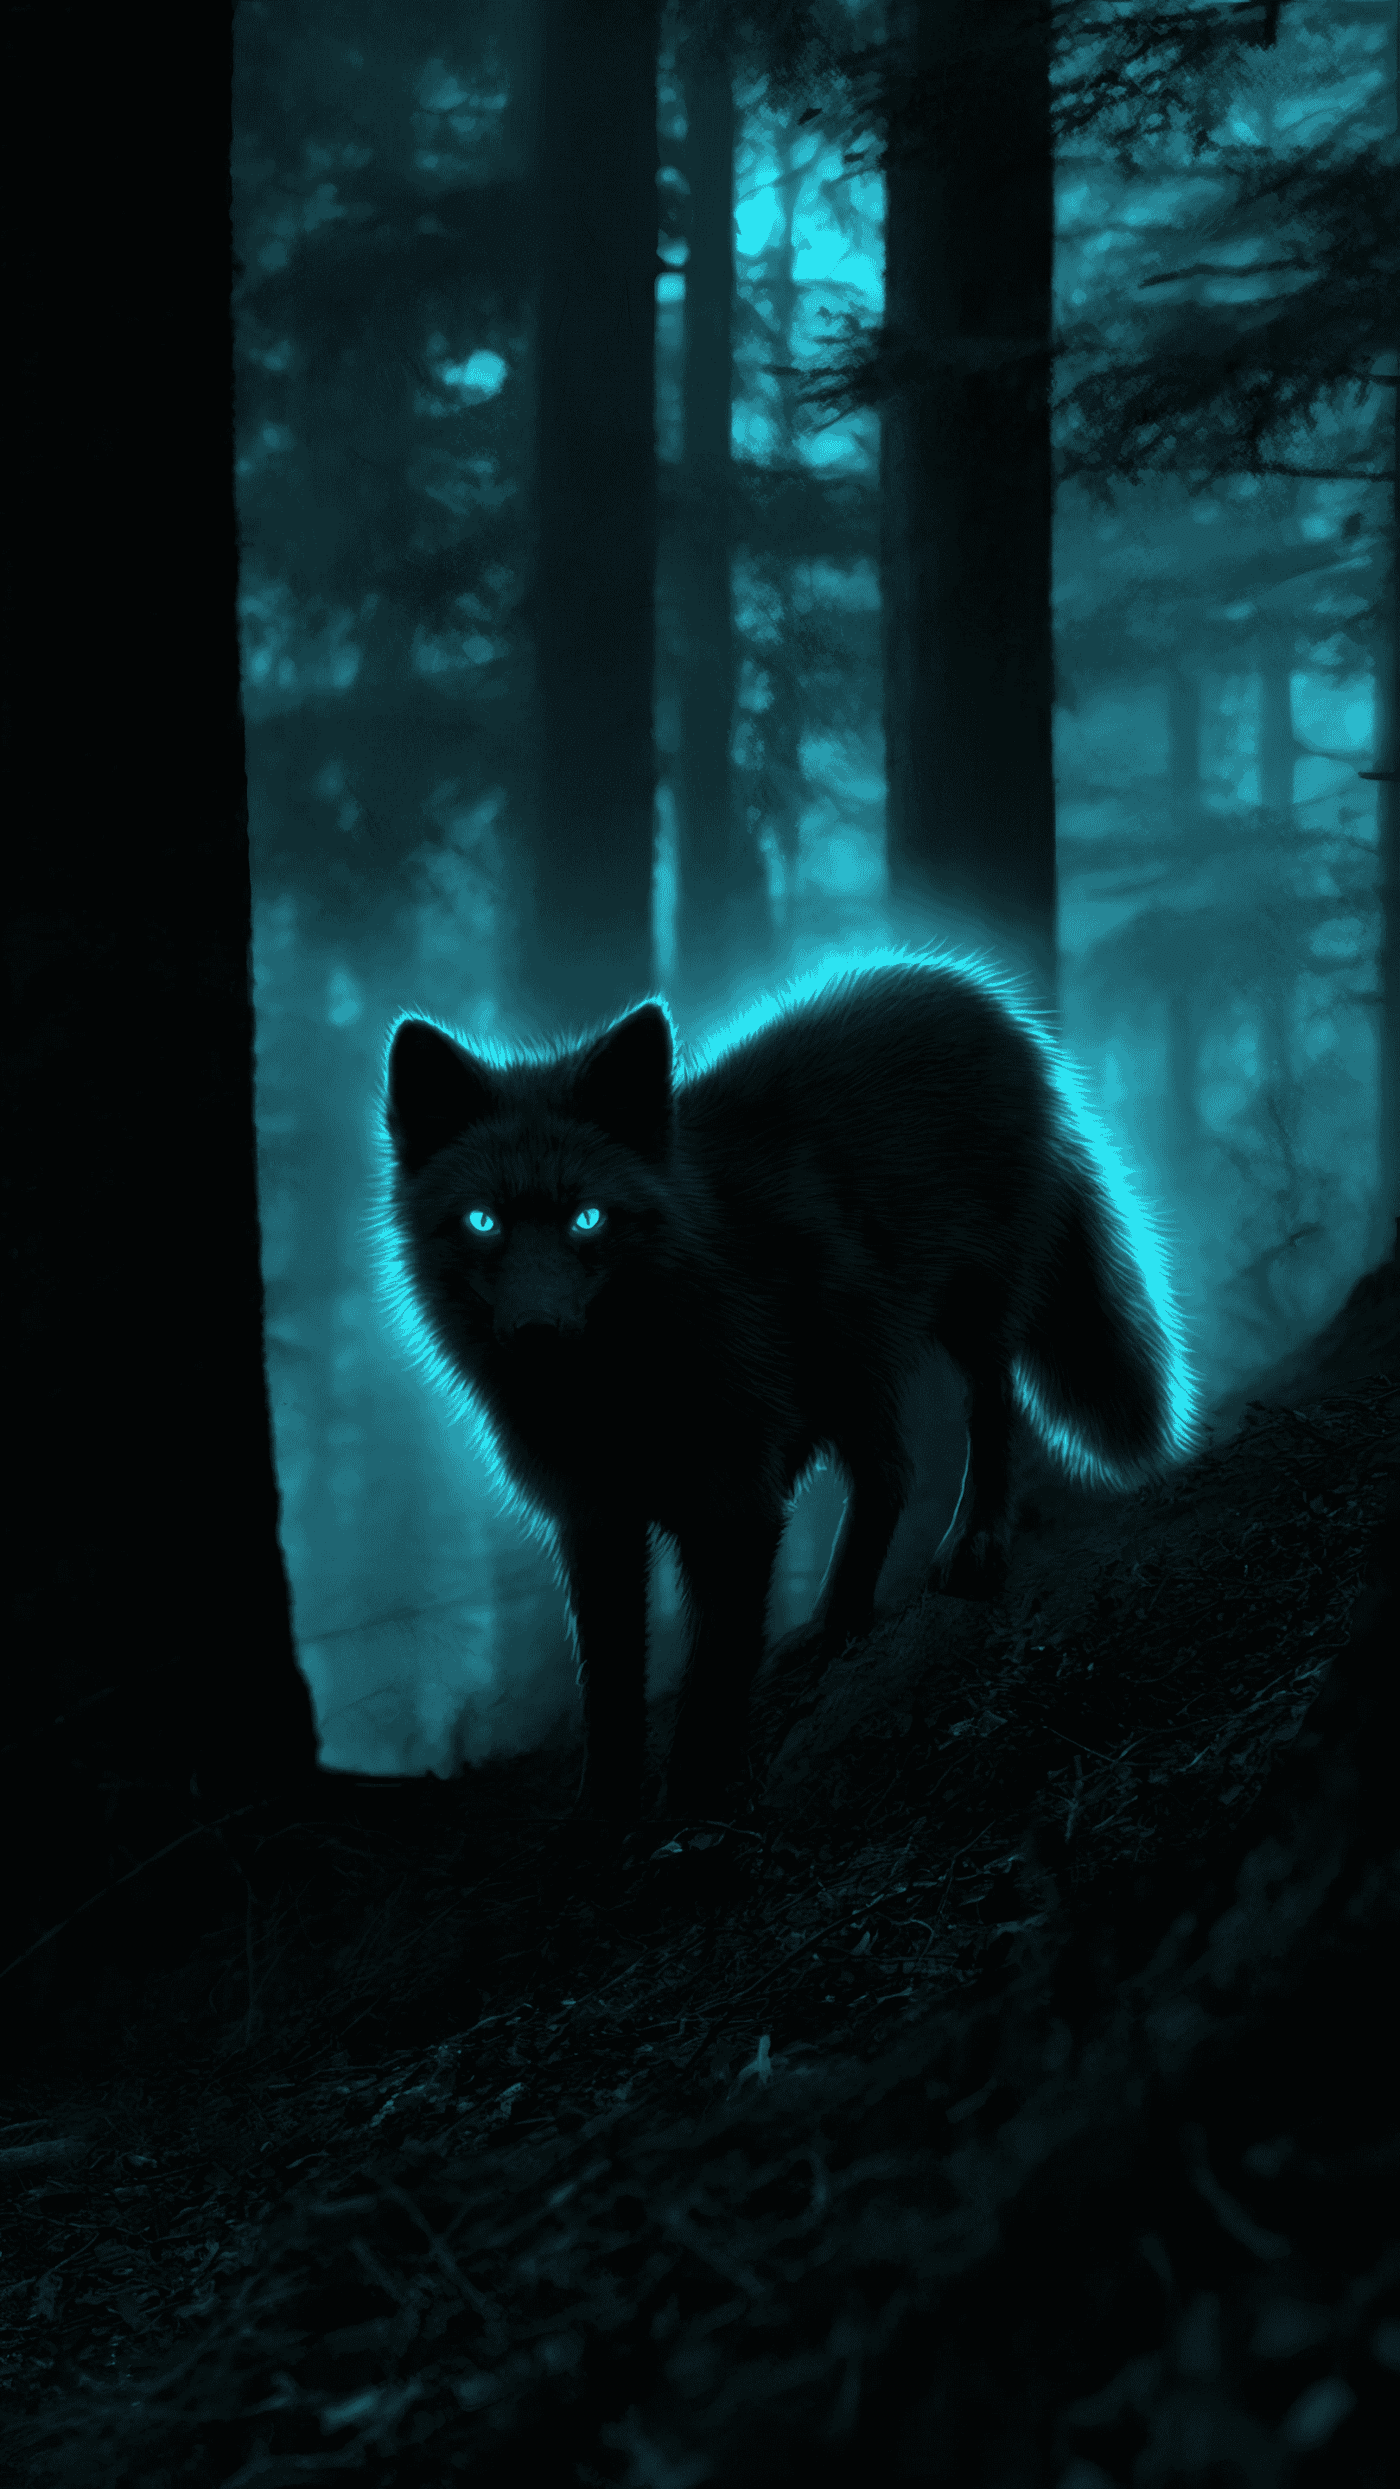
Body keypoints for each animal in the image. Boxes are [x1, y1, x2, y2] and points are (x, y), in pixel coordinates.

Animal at [382, 958, 1192, 1825]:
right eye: (483, 1221)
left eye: (588, 1218)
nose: (539, 1331)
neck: (622, 1394)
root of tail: (972, 990)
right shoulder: (595, 1519)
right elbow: (609, 1688)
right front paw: (606, 1812)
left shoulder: (734, 1501)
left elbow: (715, 1666)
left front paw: (698, 1795)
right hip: (851, 1372)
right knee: (891, 1472)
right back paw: (837, 1622)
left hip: (965, 1318)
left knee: (991, 1413)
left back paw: (972, 1548)